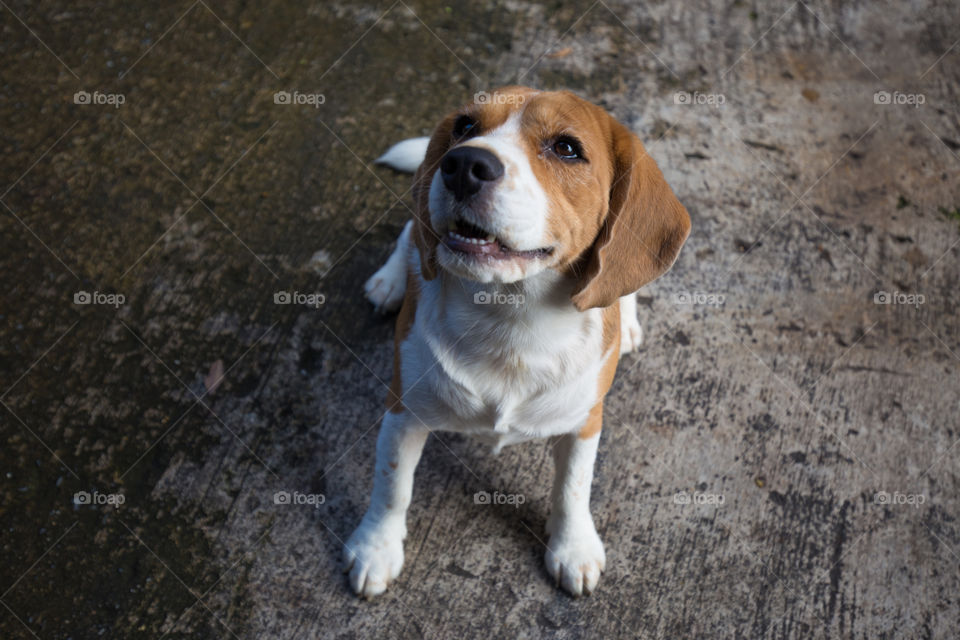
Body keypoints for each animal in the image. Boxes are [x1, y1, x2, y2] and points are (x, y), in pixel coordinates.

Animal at [344, 87, 688, 596]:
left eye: (566, 148)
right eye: (465, 126)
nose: (463, 163)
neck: (511, 320)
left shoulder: (586, 421)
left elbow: (572, 488)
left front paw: (573, 547)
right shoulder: (402, 411)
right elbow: (392, 488)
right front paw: (375, 549)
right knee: (411, 234)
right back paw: (390, 280)